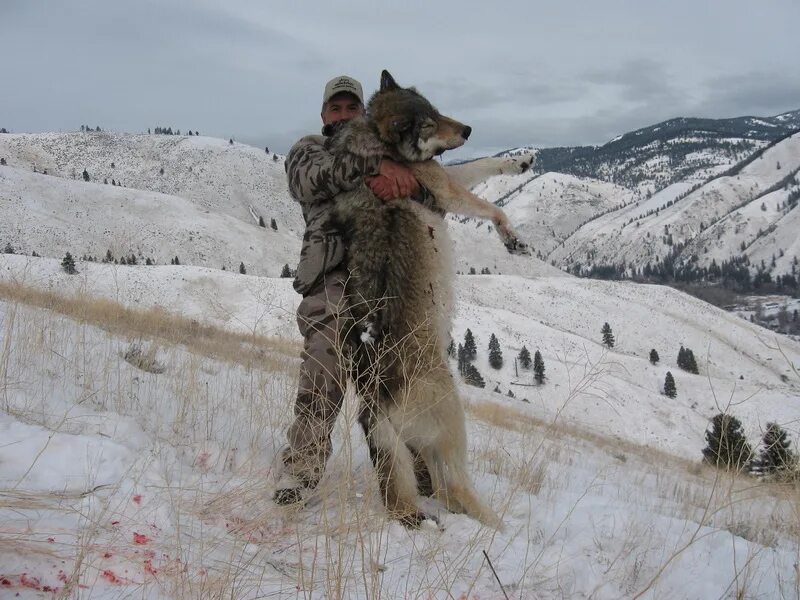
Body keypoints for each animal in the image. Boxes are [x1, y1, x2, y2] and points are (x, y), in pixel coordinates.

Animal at [328, 71, 528, 528]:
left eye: (436, 109)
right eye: (430, 124)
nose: (469, 129)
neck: (377, 142)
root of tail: (375, 407)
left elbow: (484, 166)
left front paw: (522, 160)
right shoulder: (446, 188)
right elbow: (492, 204)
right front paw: (512, 237)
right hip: (454, 417)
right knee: (454, 487)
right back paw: (500, 525)